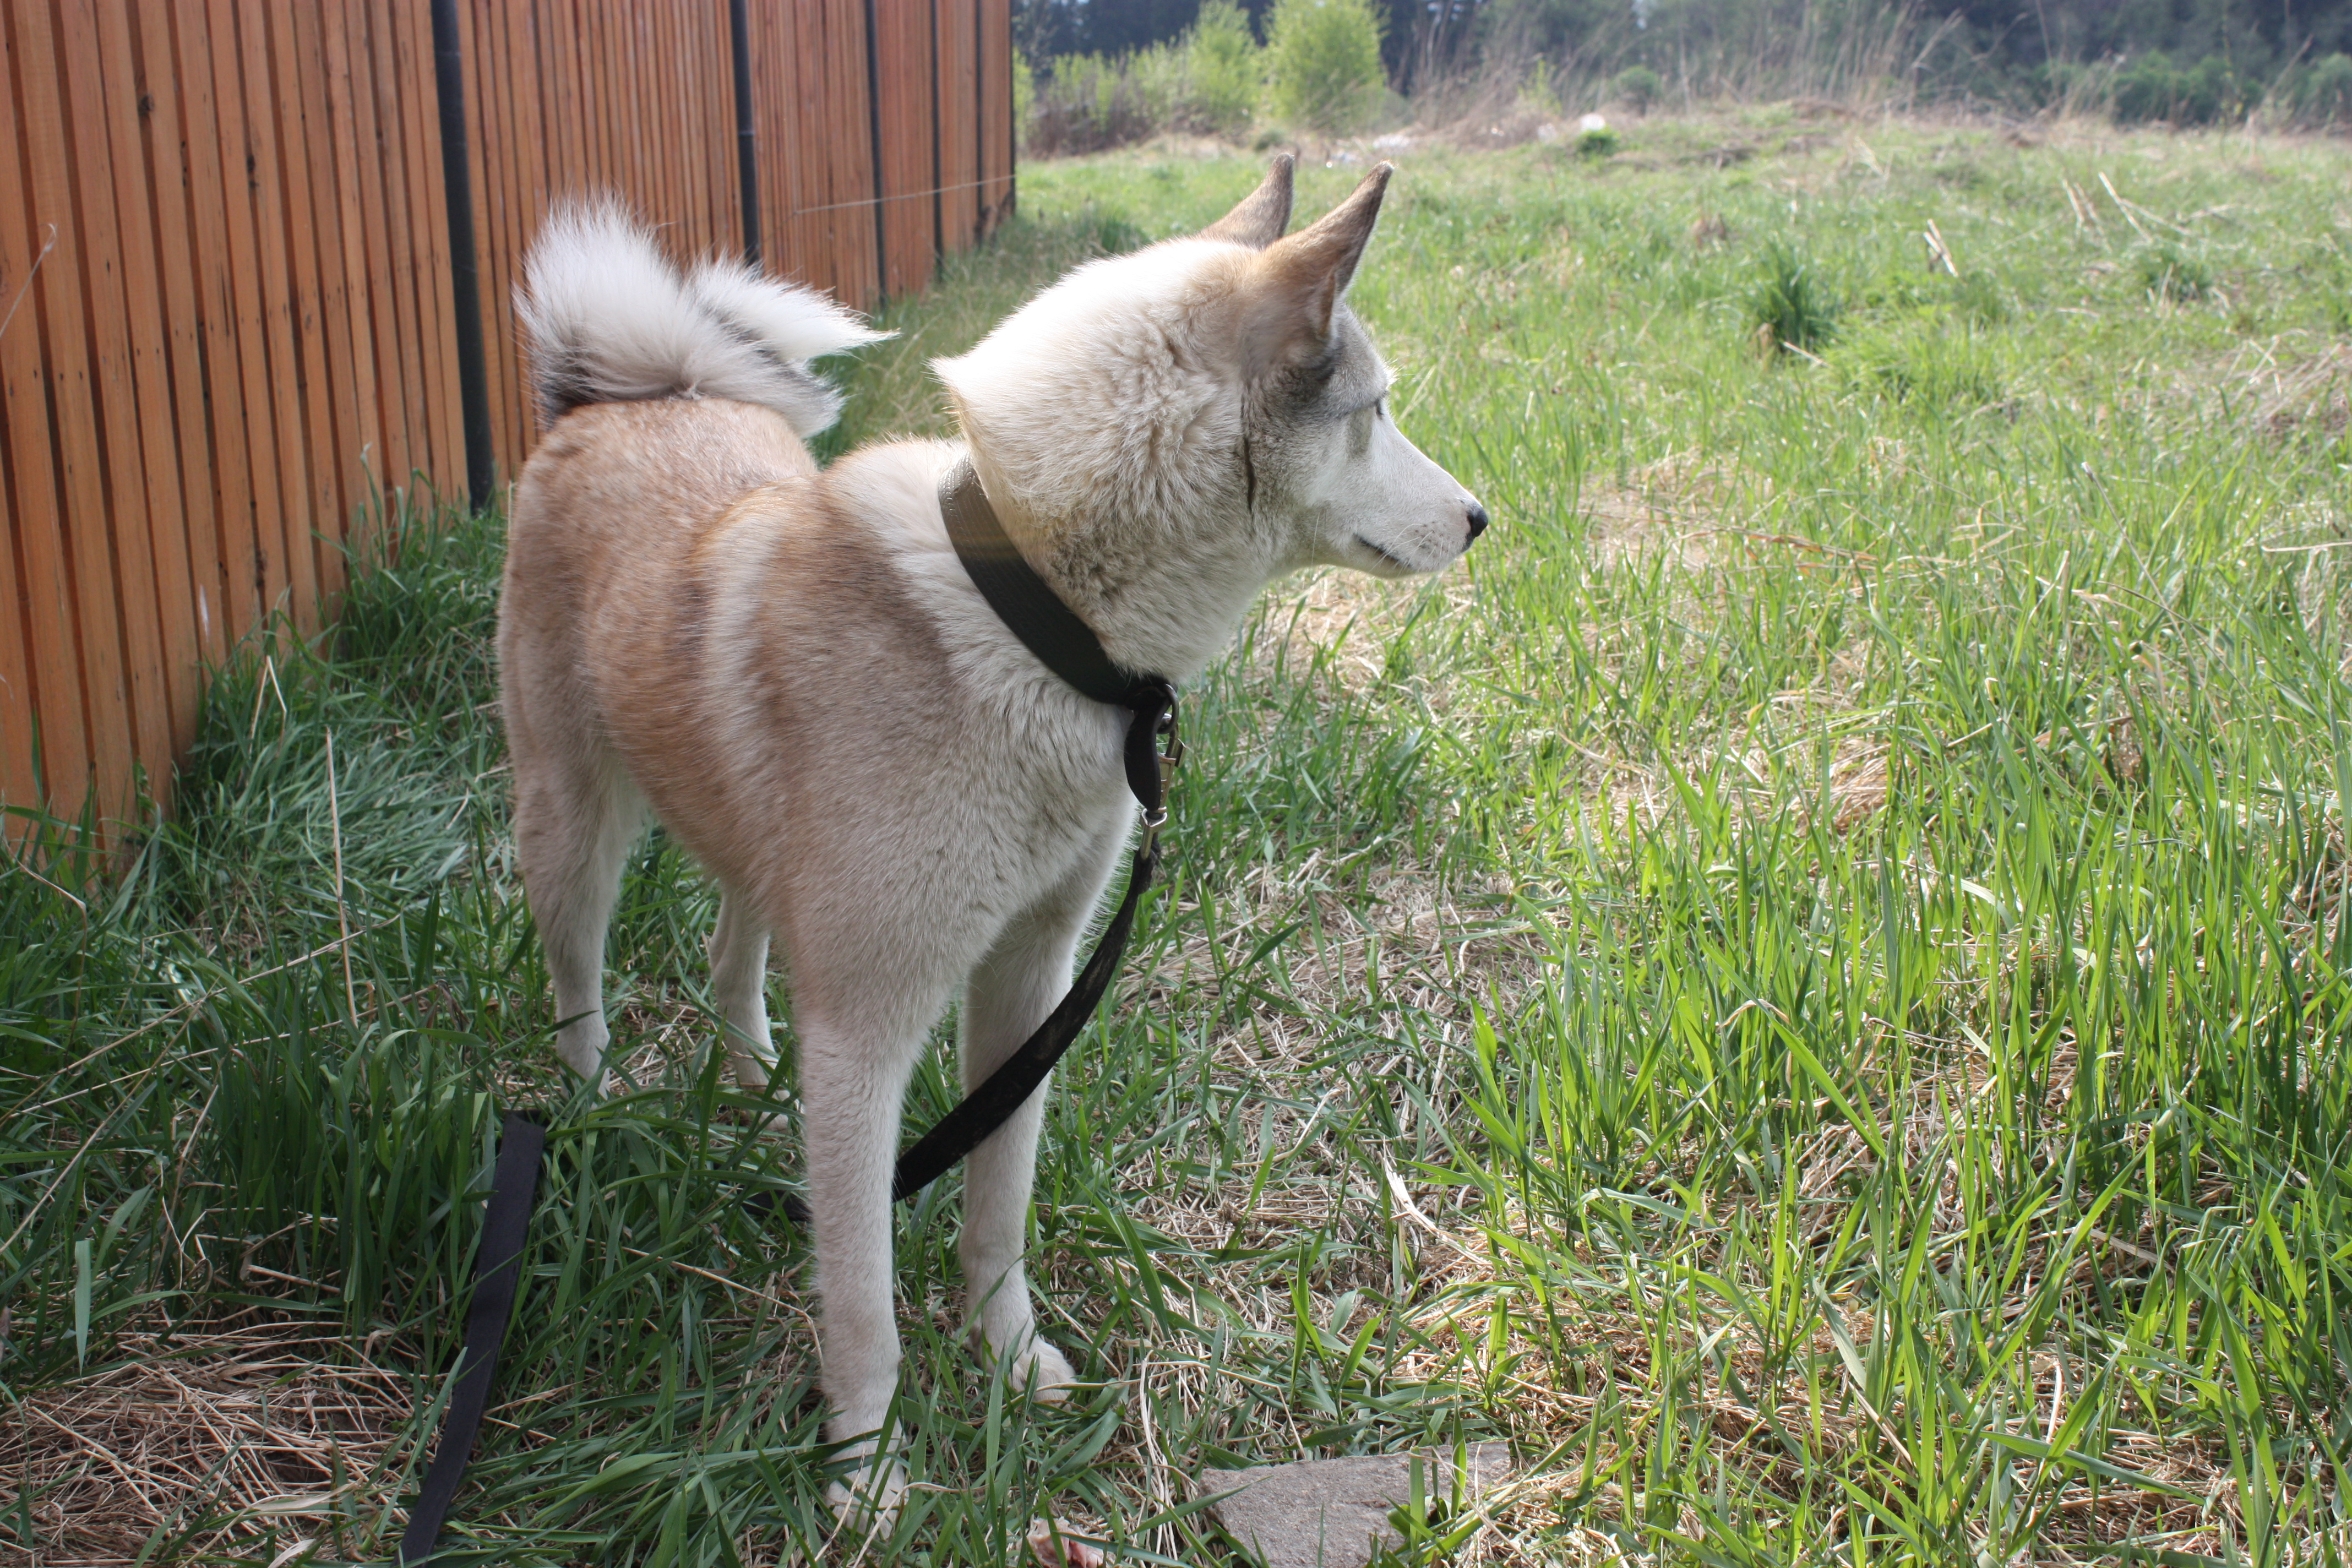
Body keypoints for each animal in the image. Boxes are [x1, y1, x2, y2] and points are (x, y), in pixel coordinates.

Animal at [503, 160, 1477, 1504]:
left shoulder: (1030, 983)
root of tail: (615, 403)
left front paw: (1010, 1361)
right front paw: (865, 1474)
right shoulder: (870, 1032)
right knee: (580, 988)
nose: (1482, 518)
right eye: (1374, 411)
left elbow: (997, 1209)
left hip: (751, 854)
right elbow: (861, 1296)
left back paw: (752, 1088)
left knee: (733, 950)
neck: (1036, 608)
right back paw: (597, 1109)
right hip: (574, 830)